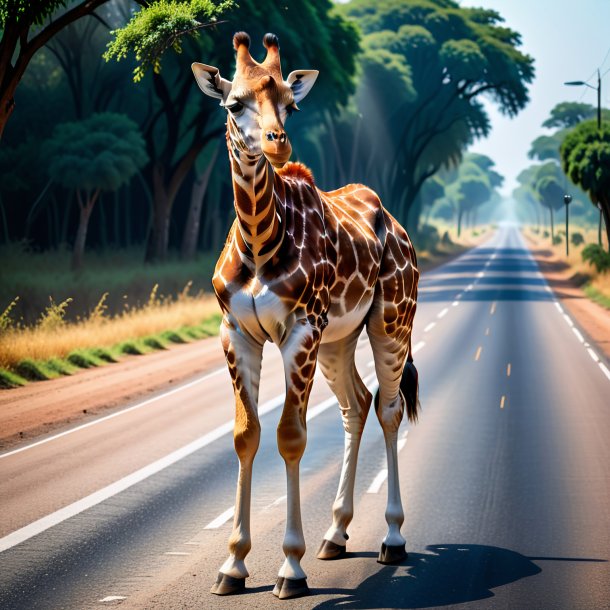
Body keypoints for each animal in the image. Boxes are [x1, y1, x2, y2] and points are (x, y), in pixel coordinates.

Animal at [191, 30, 418, 596]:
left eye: (290, 104)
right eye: (234, 102)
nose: (278, 142)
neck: (259, 243)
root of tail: (395, 224)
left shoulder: (300, 330)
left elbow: (290, 437)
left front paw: (289, 568)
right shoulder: (235, 333)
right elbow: (245, 435)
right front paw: (233, 565)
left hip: (391, 320)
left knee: (388, 408)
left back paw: (392, 538)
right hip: (339, 338)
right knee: (356, 405)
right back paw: (335, 535)